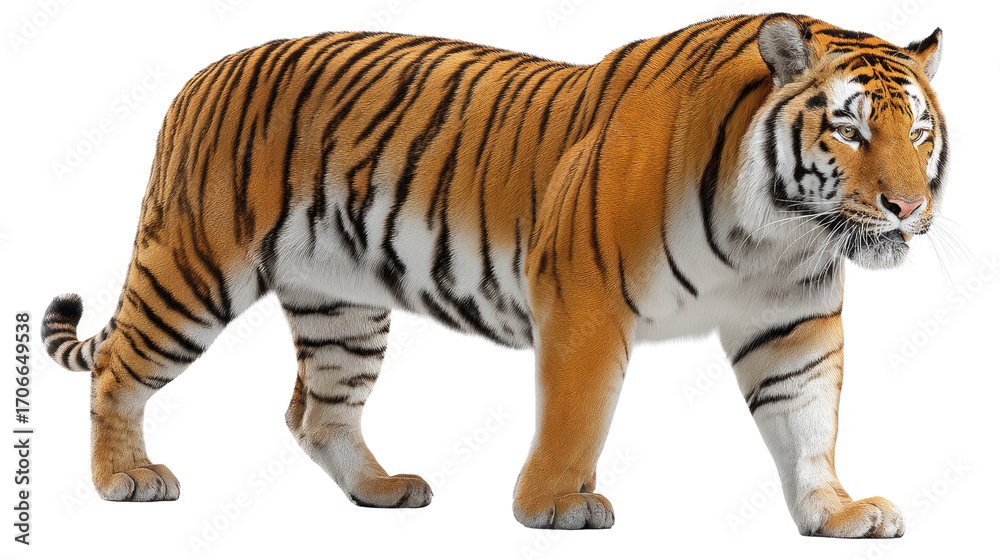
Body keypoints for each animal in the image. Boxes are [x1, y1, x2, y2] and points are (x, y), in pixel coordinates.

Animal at [41, 13, 946, 536]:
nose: (906, 207)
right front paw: (553, 505)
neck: (778, 231)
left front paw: (837, 512)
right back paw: (126, 479)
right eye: (849, 132)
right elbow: (577, 416)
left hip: (342, 307)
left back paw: (382, 492)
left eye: (919, 133)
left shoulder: (792, 321)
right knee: (117, 365)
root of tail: (201, 74)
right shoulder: (584, 300)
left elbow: (807, 421)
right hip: (194, 269)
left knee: (317, 413)